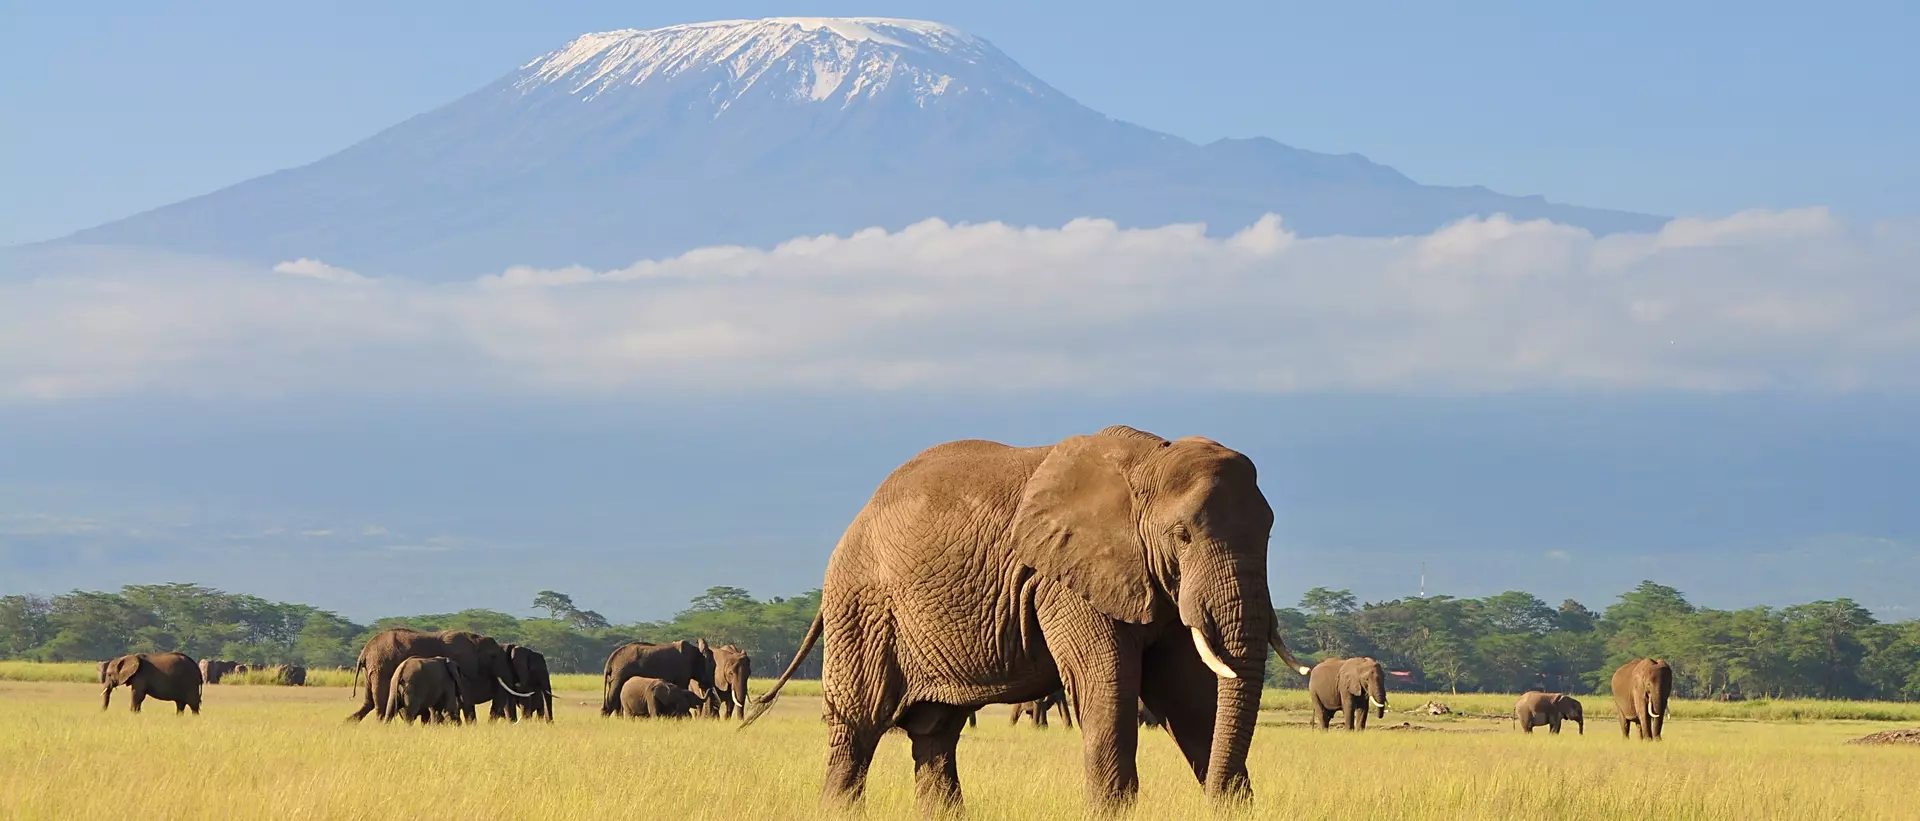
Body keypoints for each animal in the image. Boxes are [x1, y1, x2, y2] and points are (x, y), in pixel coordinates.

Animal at [347, 629, 533, 723]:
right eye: (493, 657)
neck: (476, 641)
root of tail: (364, 652)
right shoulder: (464, 666)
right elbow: (466, 698)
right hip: (382, 669)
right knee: (381, 706)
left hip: (373, 670)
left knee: (370, 703)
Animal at [746, 426, 1314, 813]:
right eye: (1183, 535)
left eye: (1268, 532)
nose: (1216, 799)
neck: (1150, 459)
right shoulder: (1063, 581)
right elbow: (1107, 685)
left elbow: (1191, 695)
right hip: (863, 607)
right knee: (858, 729)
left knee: (935, 734)